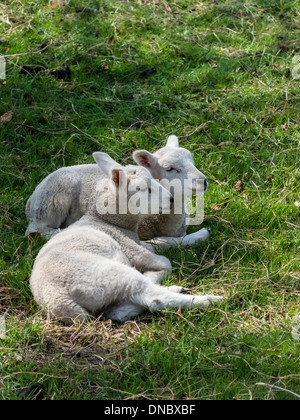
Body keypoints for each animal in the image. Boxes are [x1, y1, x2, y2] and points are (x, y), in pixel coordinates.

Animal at [26, 135, 211, 248]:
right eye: (170, 169)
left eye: (192, 160)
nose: (203, 181)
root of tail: (30, 200)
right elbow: (164, 242)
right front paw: (201, 234)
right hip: (51, 202)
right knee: (38, 230)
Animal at [29, 153, 223, 324]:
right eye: (143, 189)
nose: (171, 199)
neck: (108, 221)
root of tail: (58, 298)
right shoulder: (132, 247)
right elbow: (165, 257)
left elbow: (164, 242)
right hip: (109, 275)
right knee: (153, 299)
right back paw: (210, 300)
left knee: (118, 312)